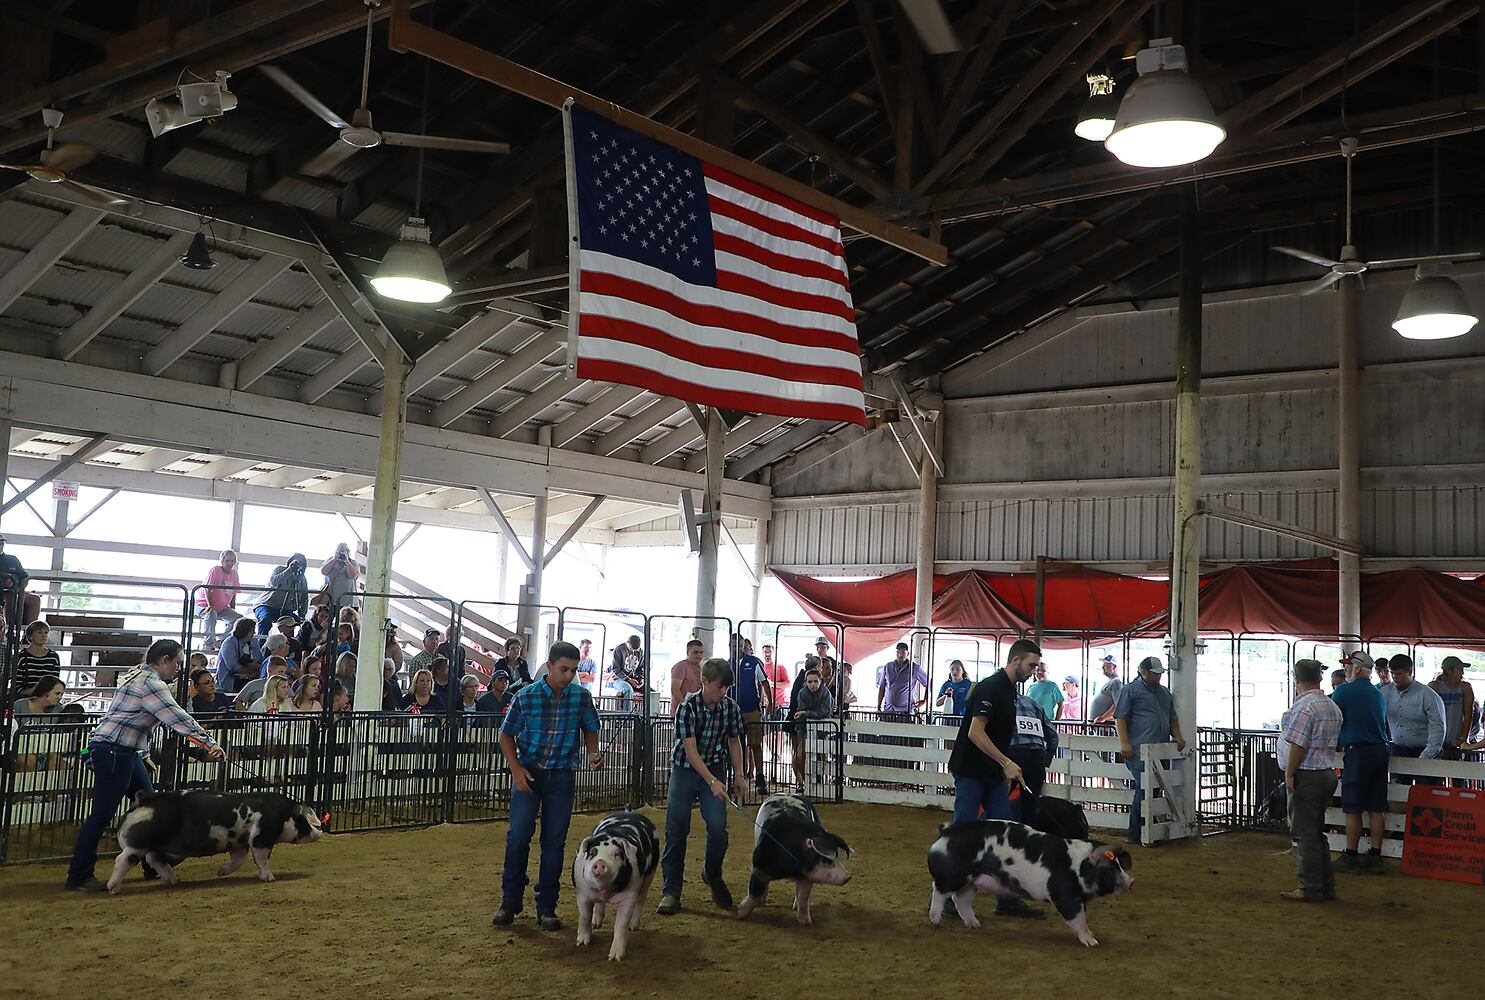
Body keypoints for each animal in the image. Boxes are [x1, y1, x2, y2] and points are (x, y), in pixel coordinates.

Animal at [106, 790, 325, 891]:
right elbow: (262, 859)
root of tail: (143, 801)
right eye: (306, 822)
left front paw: (220, 872)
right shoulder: (261, 837)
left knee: (155, 860)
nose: (319, 832)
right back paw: (112, 888)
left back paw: (175, 881)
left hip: (153, 845)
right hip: (138, 843)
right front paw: (270, 879)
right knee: (122, 860)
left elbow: (238, 860)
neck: (284, 816)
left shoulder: (239, 843)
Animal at [570, 808, 659, 956]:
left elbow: (621, 925)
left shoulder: (629, 896)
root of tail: (629, 811)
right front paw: (582, 943)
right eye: (593, 853)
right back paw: (596, 924)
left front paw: (616, 956)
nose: (600, 862)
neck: (604, 891)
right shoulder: (582, 893)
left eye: (617, 854)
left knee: (641, 899)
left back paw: (633, 926)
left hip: (650, 875)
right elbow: (584, 916)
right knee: (599, 905)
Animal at [730, 790, 849, 927]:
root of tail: (787, 793)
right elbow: (754, 892)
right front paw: (739, 914)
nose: (848, 876)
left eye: (837, 855)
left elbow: (803, 898)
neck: (791, 868)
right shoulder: (758, 867)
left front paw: (807, 923)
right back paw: (762, 902)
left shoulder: (807, 878)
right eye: (826, 859)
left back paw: (795, 906)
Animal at [926, 814, 1134, 945]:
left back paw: (975, 925)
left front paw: (1093, 939)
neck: (1078, 867)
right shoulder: (1065, 895)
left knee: (960, 900)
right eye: (1110, 867)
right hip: (953, 876)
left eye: (1119, 865)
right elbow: (1078, 919)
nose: (1131, 881)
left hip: (972, 881)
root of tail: (946, 832)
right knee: (939, 890)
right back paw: (935, 921)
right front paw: (1093, 942)